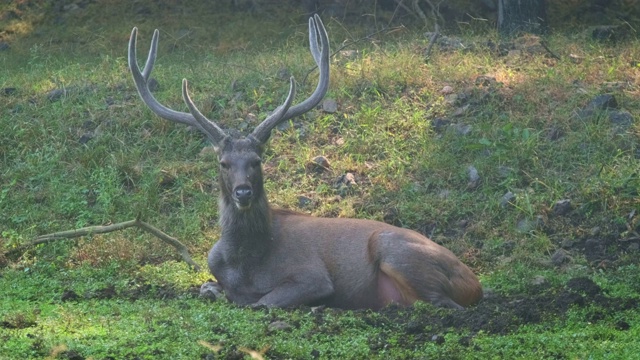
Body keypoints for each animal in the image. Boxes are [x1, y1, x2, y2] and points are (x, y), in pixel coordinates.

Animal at [127, 15, 482, 310]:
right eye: (223, 162)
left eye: (257, 160)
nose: (243, 192)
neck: (245, 263)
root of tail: (476, 283)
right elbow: (210, 289)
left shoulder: (312, 276)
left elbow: (262, 301)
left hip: (397, 251)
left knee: (445, 304)